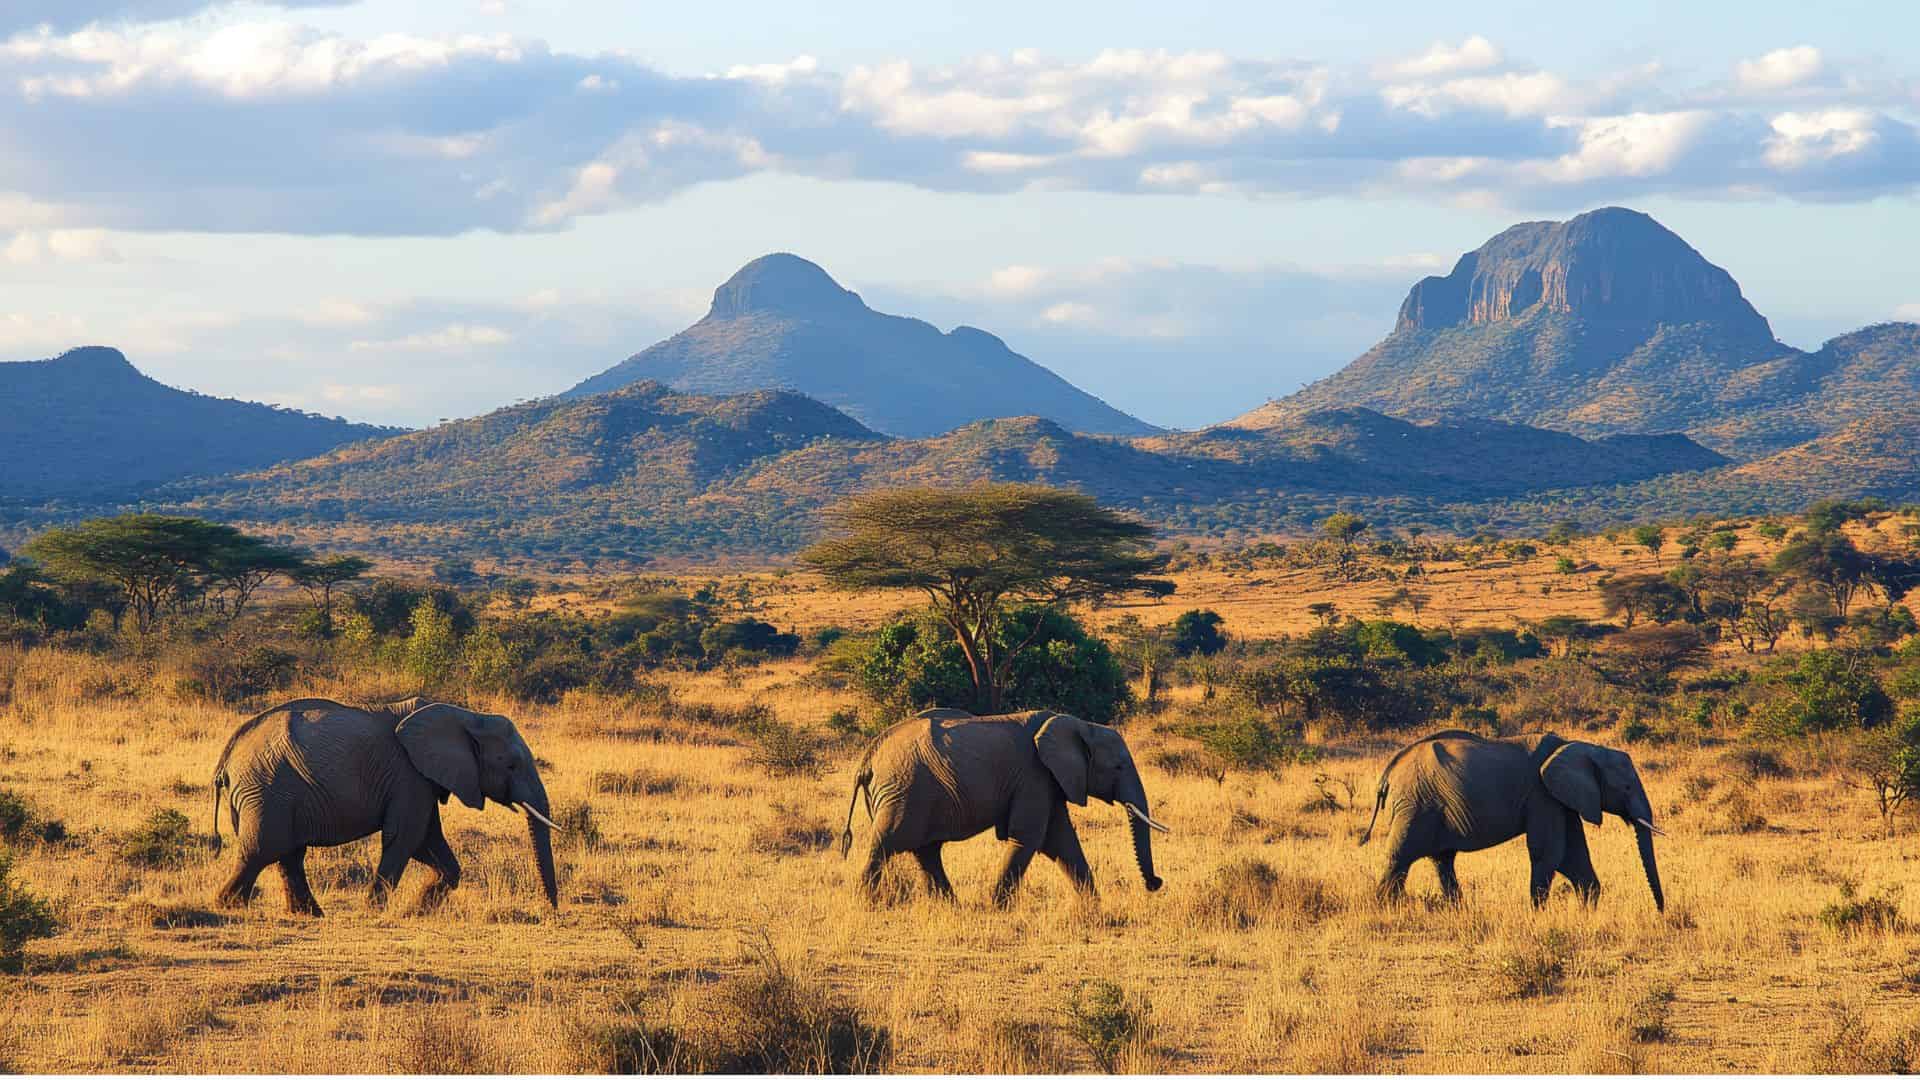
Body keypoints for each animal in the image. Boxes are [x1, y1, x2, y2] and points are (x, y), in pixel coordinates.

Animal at [209, 696, 562, 915]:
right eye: (512, 765)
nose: (553, 910)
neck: (467, 716)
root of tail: (228, 753)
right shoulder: (409, 774)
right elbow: (406, 837)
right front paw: (375, 910)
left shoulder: (422, 780)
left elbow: (428, 843)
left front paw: (417, 912)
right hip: (267, 788)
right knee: (262, 850)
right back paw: (228, 905)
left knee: (288, 854)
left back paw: (310, 915)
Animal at [837, 707, 1169, 906]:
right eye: (1118, 767)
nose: (1156, 883)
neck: (1079, 724)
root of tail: (868, 756)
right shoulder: (1034, 776)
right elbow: (1029, 838)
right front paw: (995, 908)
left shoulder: (1049, 781)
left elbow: (1063, 842)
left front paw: (1094, 908)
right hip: (904, 791)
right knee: (887, 843)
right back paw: (865, 902)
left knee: (926, 851)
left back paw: (951, 907)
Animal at [1358, 728, 1665, 911]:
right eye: (1626, 787)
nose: (1660, 912)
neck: (1578, 747)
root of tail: (1388, 772)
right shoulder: (1542, 794)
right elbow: (1550, 852)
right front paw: (1538, 913)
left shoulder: (1561, 798)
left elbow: (1574, 853)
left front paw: (1587, 909)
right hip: (1415, 805)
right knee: (1401, 856)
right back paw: (1386, 909)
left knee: (1442, 860)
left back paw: (1457, 911)